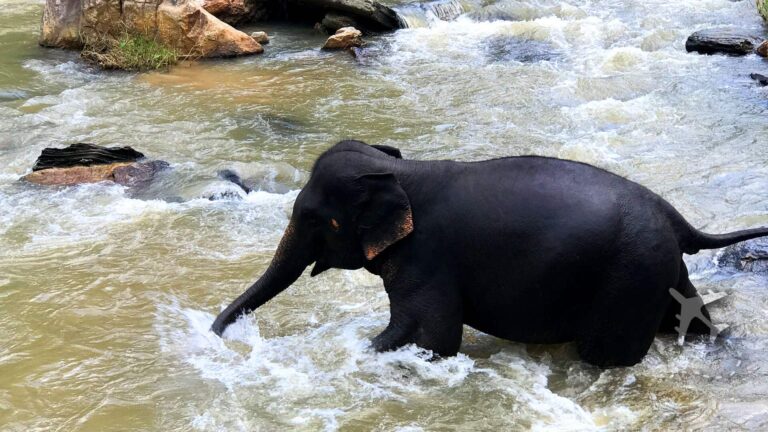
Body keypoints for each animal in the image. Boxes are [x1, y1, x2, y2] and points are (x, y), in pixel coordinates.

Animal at [210, 140, 768, 367]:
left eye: (314, 219)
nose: (218, 335)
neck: (402, 171)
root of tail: (678, 219)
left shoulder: (427, 261)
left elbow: (433, 338)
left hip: (629, 276)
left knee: (604, 354)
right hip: (659, 270)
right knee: (693, 318)